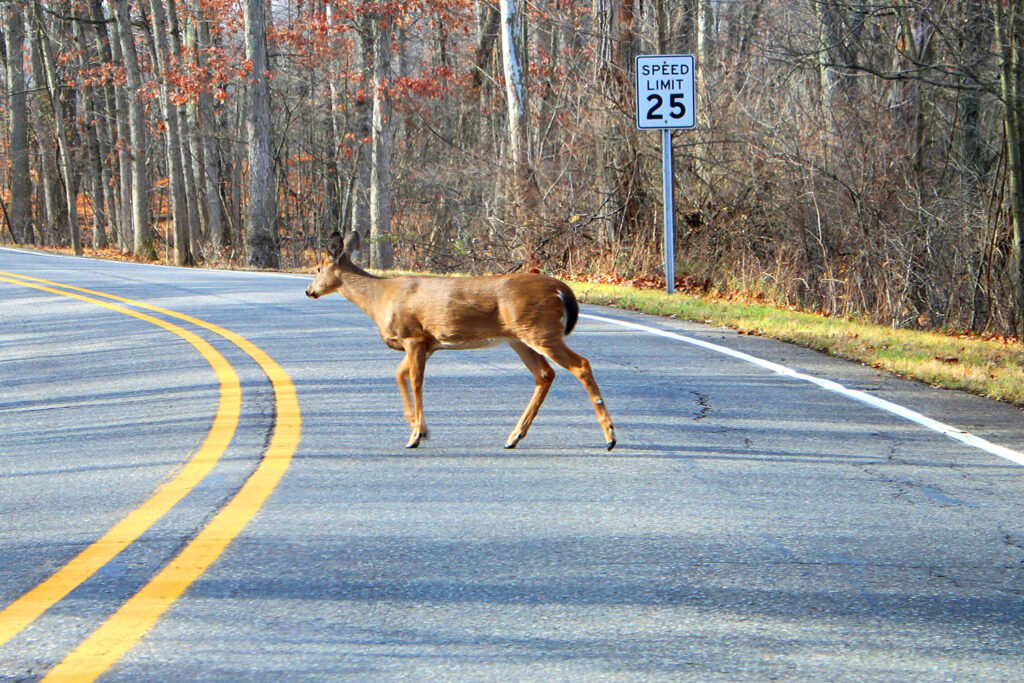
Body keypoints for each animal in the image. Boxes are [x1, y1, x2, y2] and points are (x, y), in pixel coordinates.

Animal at [303, 232, 614, 450]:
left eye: (317, 269)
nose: (308, 291)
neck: (379, 299)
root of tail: (561, 289)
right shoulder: (427, 343)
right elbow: (399, 375)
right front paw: (420, 428)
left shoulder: (413, 336)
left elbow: (416, 381)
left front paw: (415, 435)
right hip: (520, 338)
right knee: (545, 374)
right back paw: (514, 436)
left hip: (540, 330)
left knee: (580, 365)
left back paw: (610, 437)